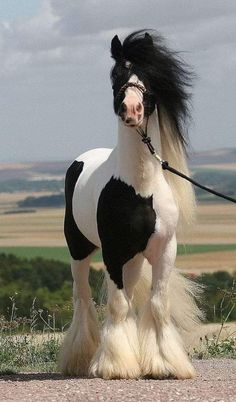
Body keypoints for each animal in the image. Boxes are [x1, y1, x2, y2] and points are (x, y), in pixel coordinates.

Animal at [59, 29, 203, 378]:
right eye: (116, 75)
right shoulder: (112, 253)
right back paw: (79, 359)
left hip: (134, 260)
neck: (140, 189)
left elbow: (157, 304)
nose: (132, 110)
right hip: (80, 250)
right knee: (83, 298)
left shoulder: (164, 251)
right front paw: (115, 365)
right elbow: (118, 304)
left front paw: (165, 363)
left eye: (149, 77)